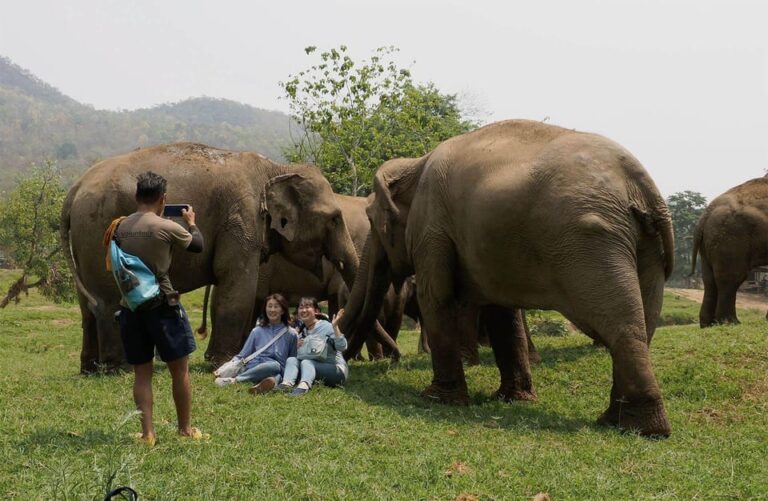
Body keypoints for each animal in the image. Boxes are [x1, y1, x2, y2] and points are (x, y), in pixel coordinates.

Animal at [61, 141, 358, 372]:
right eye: (334, 218)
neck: (276, 169)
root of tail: (74, 189)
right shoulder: (242, 221)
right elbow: (235, 289)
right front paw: (221, 362)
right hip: (99, 231)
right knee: (109, 303)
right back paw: (118, 368)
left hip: (85, 240)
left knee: (88, 305)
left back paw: (90, 368)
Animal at [340, 120, 672, 434]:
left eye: (372, 220)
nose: (350, 360)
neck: (416, 164)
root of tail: (642, 185)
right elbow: (501, 311)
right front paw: (512, 398)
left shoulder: (431, 226)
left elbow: (435, 297)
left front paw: (437, 399)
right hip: (645, 248)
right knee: (643, 322)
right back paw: (625, 423)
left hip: (591, 243)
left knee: (620, 325)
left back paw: (633, 426)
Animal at [688, 177, 768, 328]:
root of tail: (705, 215)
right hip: (731, 237)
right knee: (733, 277)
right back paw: (730, 322)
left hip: (709, 244)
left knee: (709, 279)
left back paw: (708, 324)